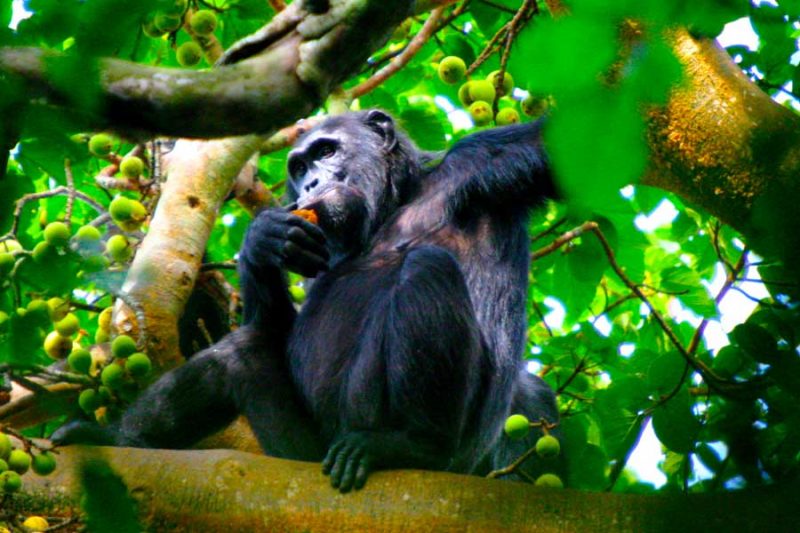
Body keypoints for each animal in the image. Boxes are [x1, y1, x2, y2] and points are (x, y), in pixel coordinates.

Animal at [53, 110, 560, 492]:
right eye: (298, 168)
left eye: (326, 151)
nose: (312, 182)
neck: (394, 203)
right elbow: (276, 326)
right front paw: (263, 239)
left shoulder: (484, 161)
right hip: (298, 453)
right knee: (240, 352)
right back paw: (112, 438)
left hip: (435, 447)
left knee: (427, 266)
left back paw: (412, 444)